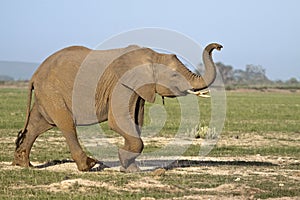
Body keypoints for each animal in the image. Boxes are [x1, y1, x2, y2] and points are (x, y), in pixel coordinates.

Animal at [12, 42, 223, 172]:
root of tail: (35, 74)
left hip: (47, 95)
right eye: (174, 76)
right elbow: (119, 122)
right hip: (53, 92)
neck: (153, 55)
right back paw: (88, 165)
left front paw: (129, 168)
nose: (219, 46)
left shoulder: (138, 89)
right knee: (66, 124)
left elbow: (136, 122)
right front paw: (124, 160)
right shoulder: (121, 85)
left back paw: (23, 164)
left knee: (38, 124)